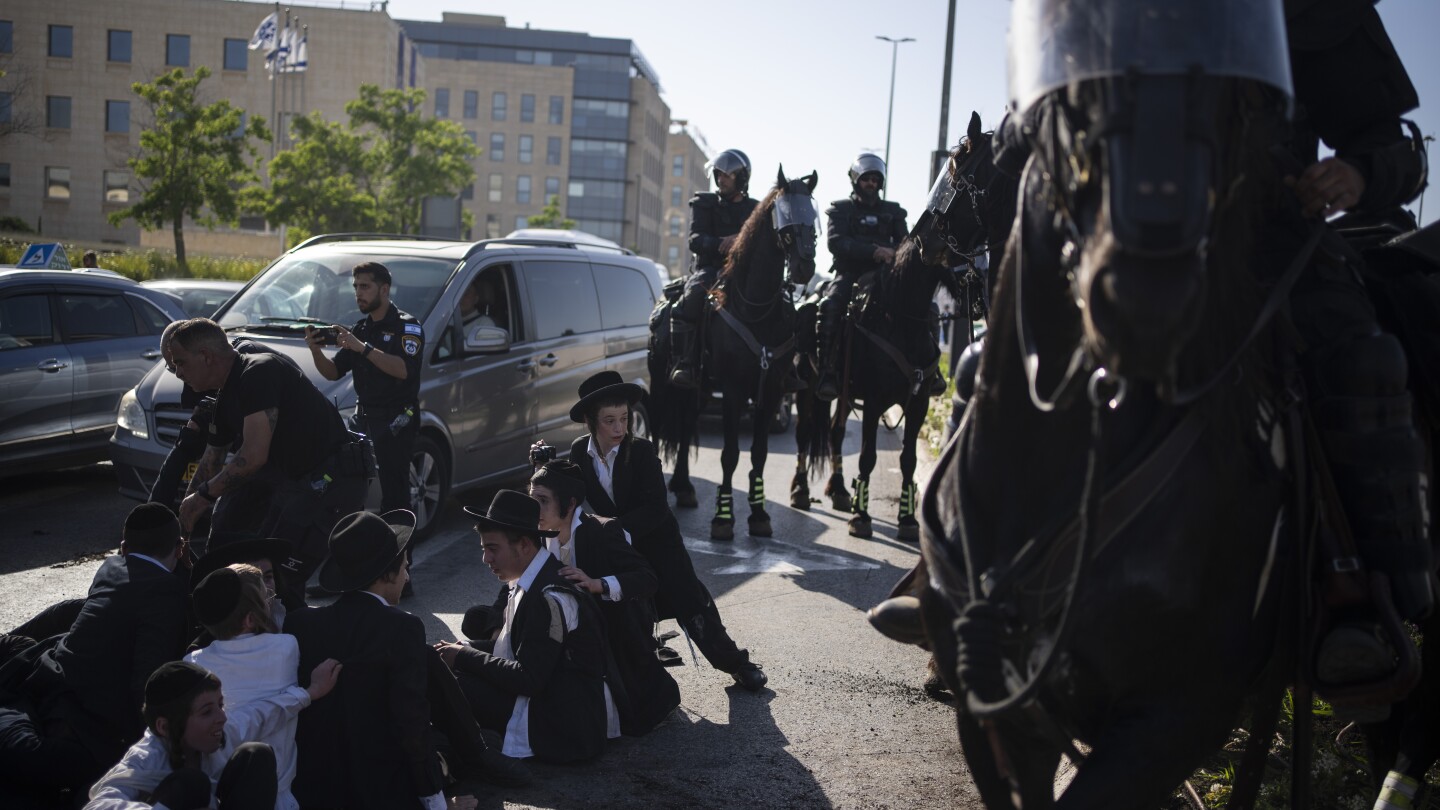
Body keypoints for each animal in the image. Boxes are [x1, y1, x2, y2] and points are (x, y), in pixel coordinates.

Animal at [648, 166, 817, 536]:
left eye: (813, 215)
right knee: (654, 427)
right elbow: (729, 454)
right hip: (660, 384)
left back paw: (683, 487)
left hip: (697, 390)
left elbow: (759, 453)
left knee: (685, 428)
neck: (755, 309)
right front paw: (723, 518)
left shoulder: (770, 391)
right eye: (783, 214)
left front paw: (759, 514)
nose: (804, 266)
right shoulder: (734, 389)